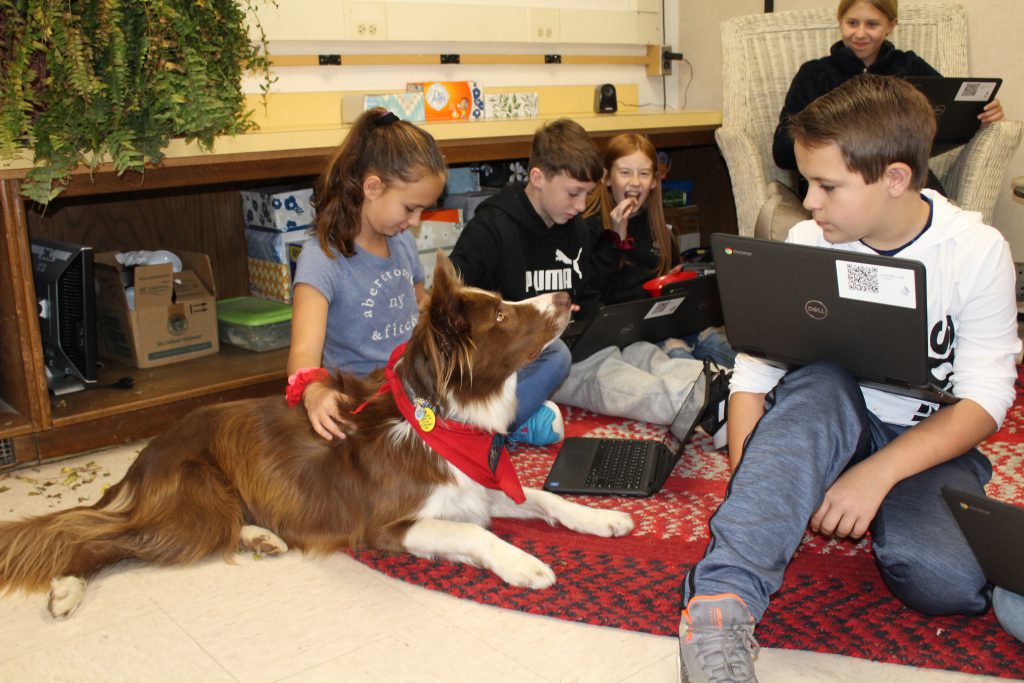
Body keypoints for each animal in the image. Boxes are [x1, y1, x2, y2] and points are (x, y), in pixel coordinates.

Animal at [0, 252, 630, 618]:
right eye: (500, 314)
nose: (567, 296)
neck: (442, 418)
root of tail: (150, 450)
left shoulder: (476, 487)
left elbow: (542, 496)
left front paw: (600, 518)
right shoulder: (388, 525)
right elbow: (474, 534)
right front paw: (524, 564)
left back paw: (261, 537)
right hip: (192, 509)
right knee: (96, 541)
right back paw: (65, 588)